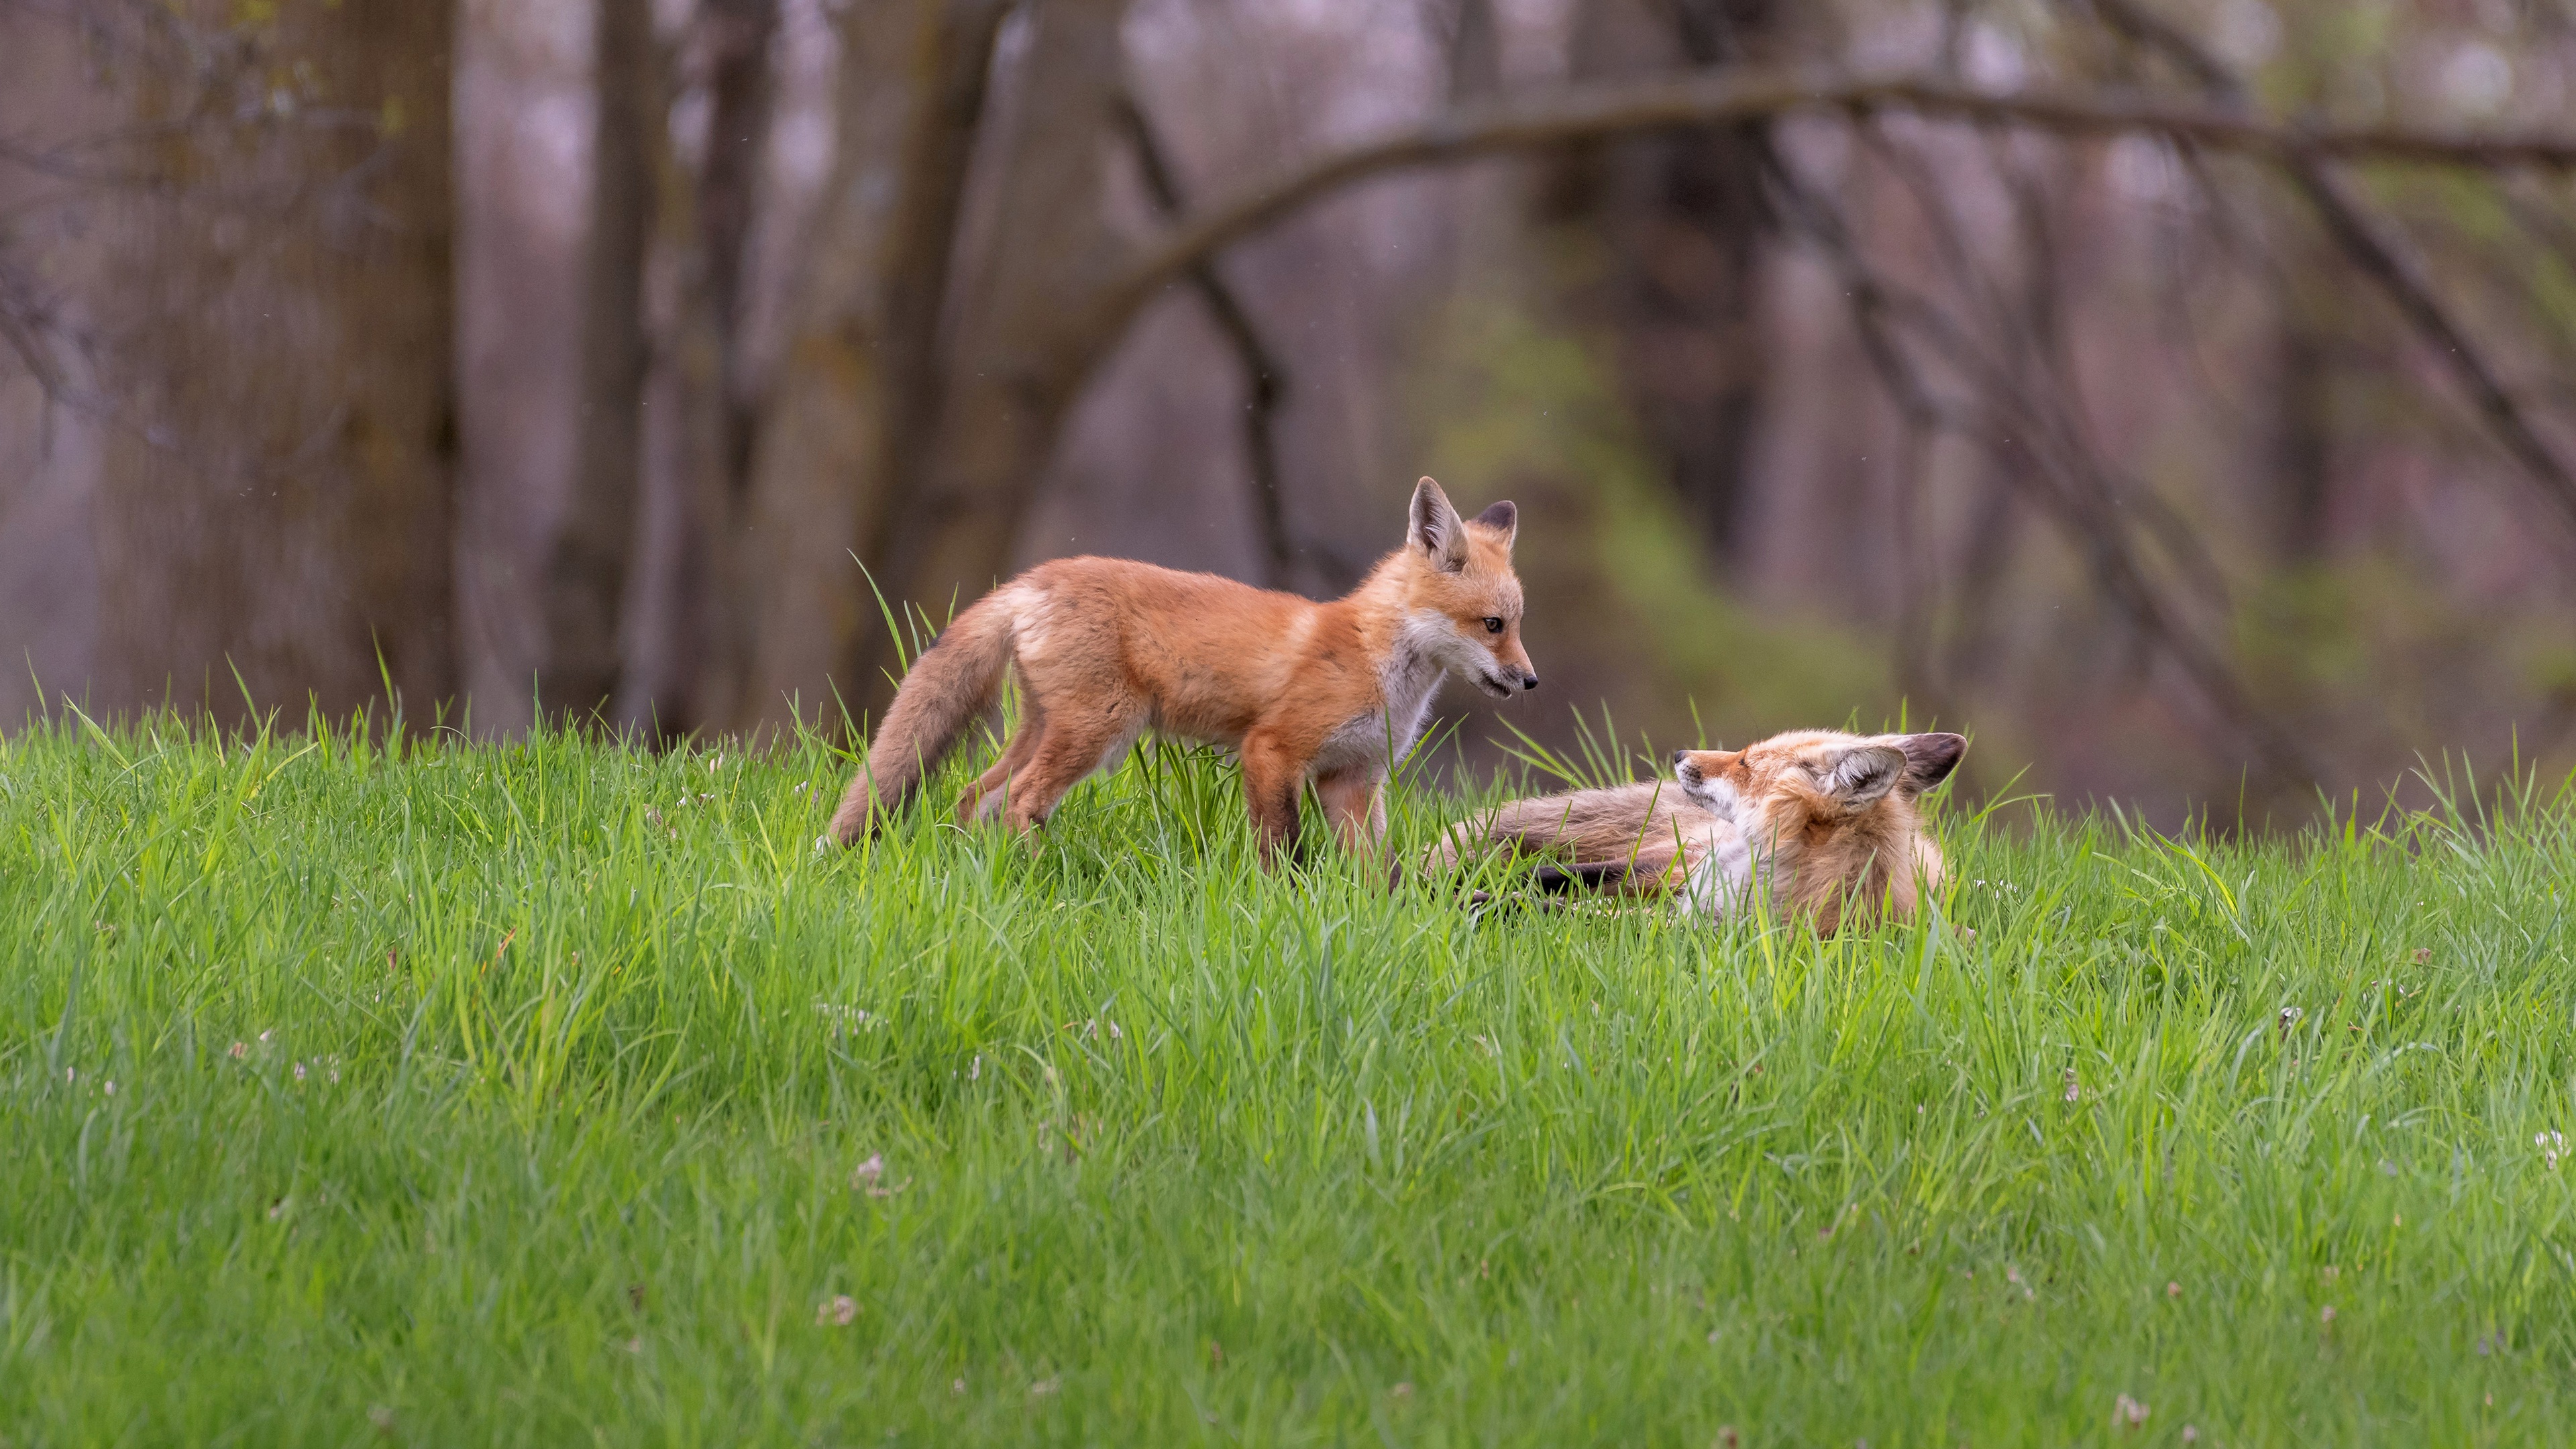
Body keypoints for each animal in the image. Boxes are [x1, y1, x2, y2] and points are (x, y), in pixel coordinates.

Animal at [835, 474, 1535, 856]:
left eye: (1519, 622)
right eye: (1493, 625)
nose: (1531, 680)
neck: (1375, 662)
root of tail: (1034, 578)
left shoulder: (1354, 779)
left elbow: (1374, 878)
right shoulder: (1271, 750)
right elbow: (1284, 852)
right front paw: (1283, 911)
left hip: (1046, 727)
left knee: (973, 797)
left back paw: (982, 872)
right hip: (1099, 730)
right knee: (1020, 801)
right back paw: (1036, 876)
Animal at [1442, 727, 1957, 928]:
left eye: (1746, 762)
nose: (1678, 754)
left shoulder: (1688, 925)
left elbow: (1566, 911)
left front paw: (1484, 902)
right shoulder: (1684, 889)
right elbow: (1552, 882)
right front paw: (1461, 890)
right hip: (1670, 863)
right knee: (1572, 870)